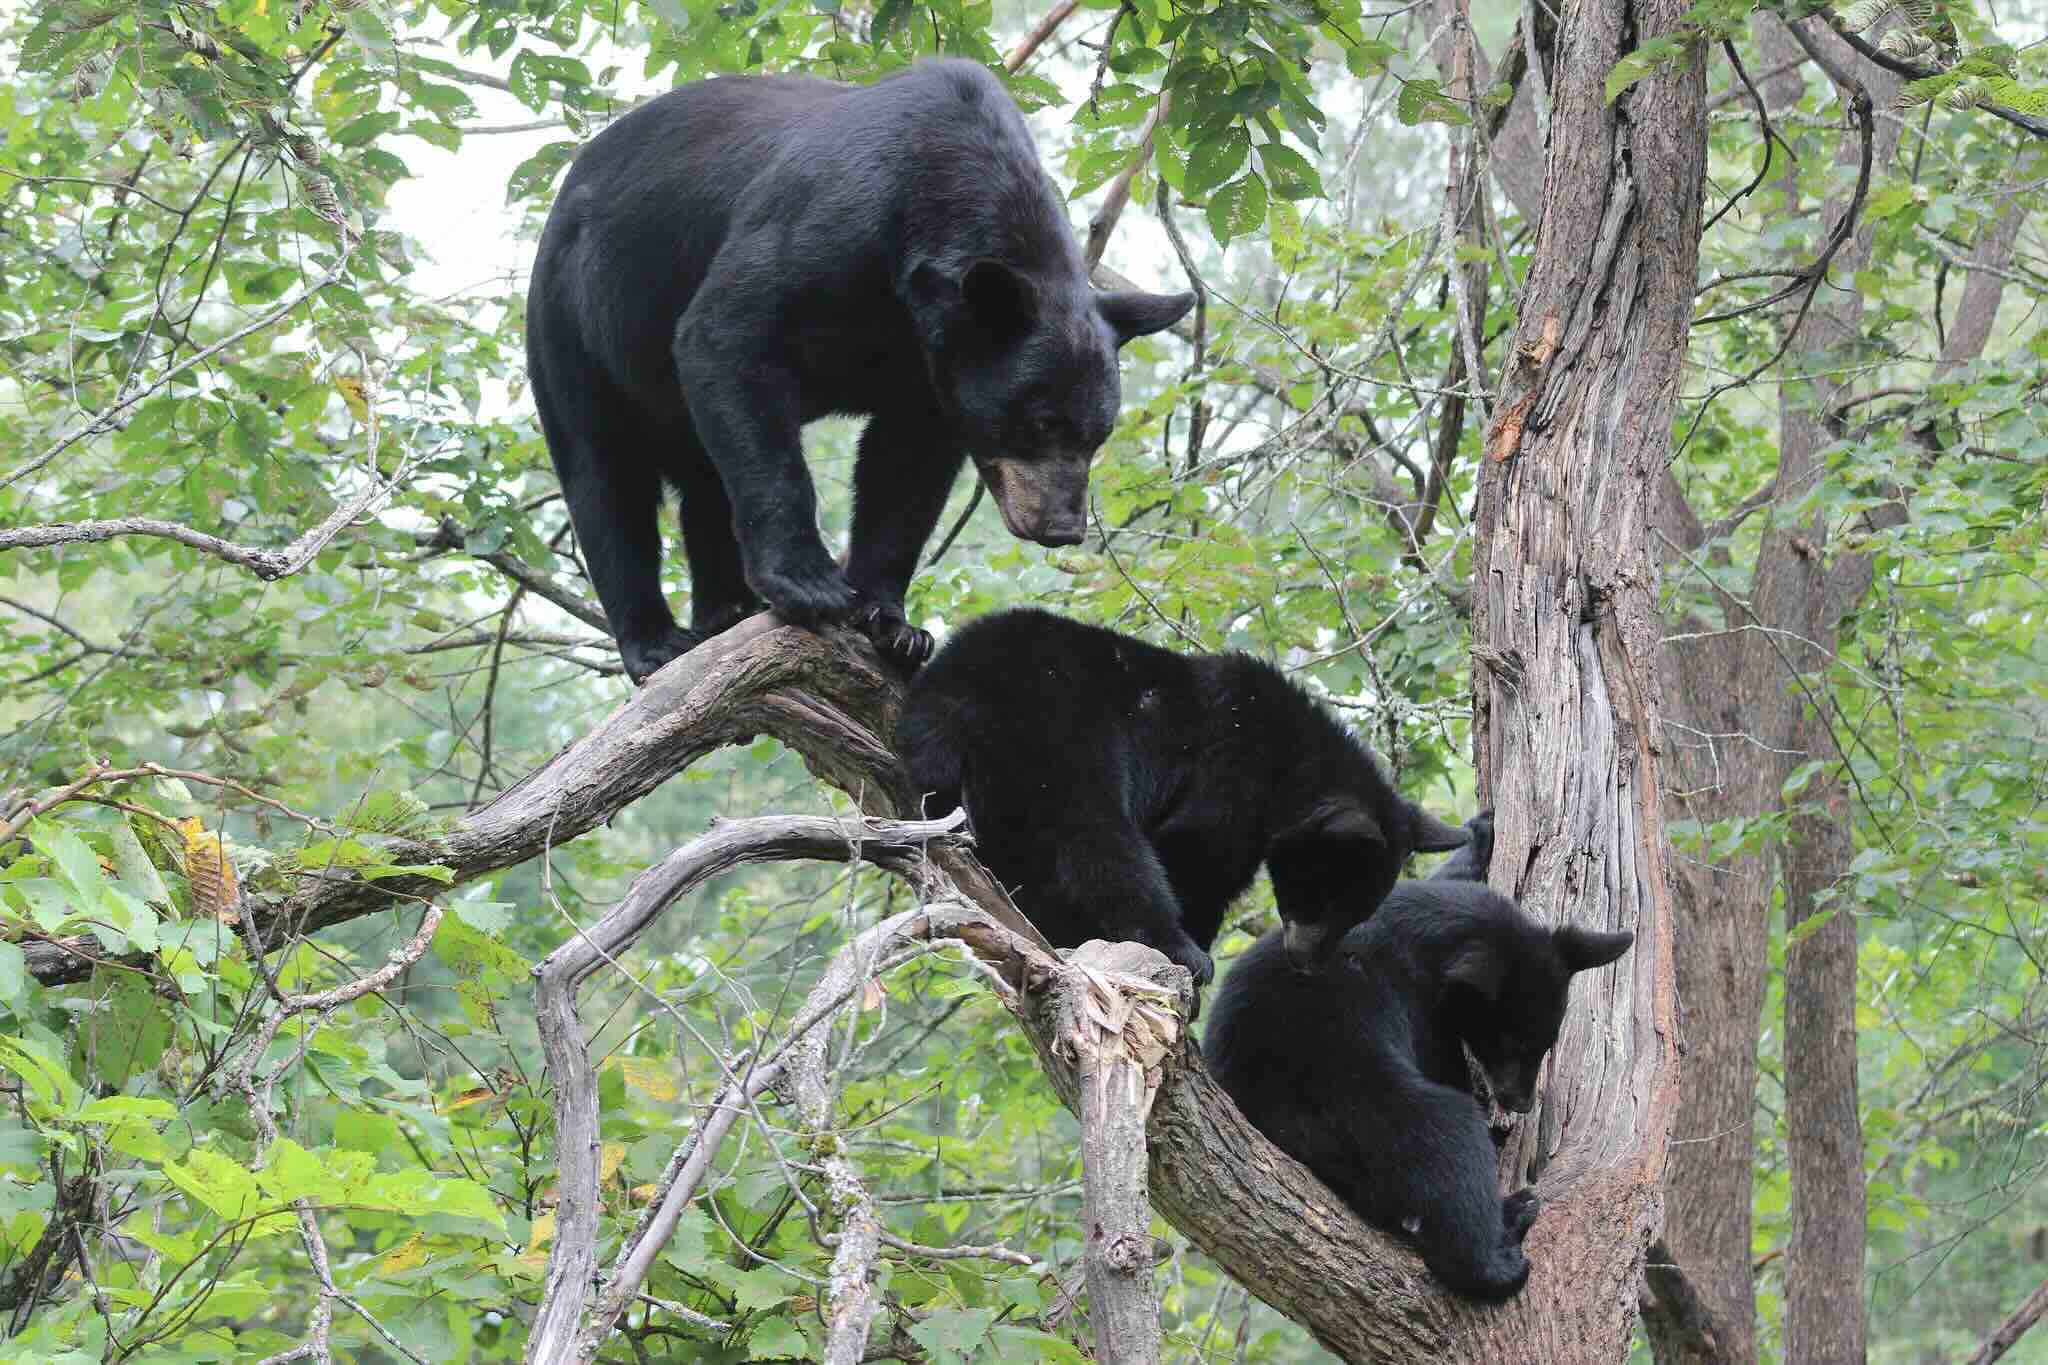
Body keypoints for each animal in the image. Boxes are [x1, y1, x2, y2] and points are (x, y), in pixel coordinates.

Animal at [525, 59, 1194, 683]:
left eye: (1098, 435)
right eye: (1041, 423)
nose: (1062, 527)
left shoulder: (928, 365)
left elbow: (905, 469)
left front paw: (893, 624)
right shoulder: (832, 221)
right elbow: (726, 335)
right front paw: (810, 583)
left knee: (706, 482)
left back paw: (726, 612)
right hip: (576, 323)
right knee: (604, 477)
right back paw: (657, 641)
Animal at [893, 607, 1470, 993]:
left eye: (1355, 908)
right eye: (1326, 895)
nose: (1305, 960)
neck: (1292, 763)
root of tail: (969, 686)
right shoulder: (1231, 774)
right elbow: (1193, 854)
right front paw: (1192, 944)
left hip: (944, 739)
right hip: (1061, 736)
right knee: (1097, 840)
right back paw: (1170, 945)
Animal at [1202, 875, 1634, 1300]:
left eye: (1547, 1042)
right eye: (1510, 1044)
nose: (1522, 1101)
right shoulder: (1418, 1013)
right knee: (1442, 1133)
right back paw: (1497, 1254)